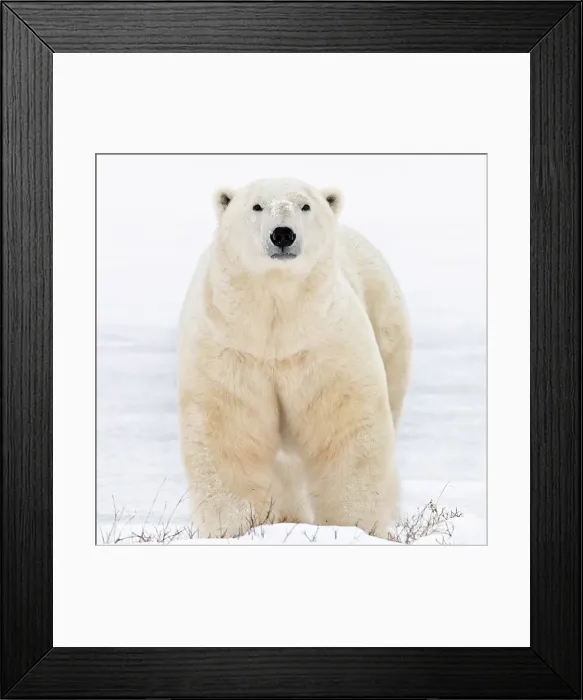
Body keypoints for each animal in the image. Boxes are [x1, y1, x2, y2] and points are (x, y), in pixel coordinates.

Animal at [178, 178, 411, 539]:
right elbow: (228, 430)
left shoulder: (324, 343)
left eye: (305, 205)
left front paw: (354, 527)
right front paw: (235, 528)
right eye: (257, 205)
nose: (283, 234)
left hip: (386, 321)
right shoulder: (232, 347)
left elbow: (345, 428)